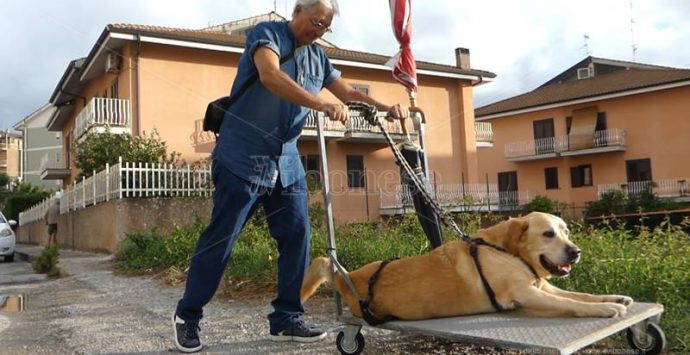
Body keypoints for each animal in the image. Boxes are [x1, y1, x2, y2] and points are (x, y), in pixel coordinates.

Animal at [298, 213, 632, 324]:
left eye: (566, 231)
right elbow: (576, 304)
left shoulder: (543, 286)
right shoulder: (526, 293)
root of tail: (347, 277)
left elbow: (582, 295)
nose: (576, 252)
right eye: (548, 234)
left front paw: (615, 298)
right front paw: (606, 310)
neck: (505, 251)